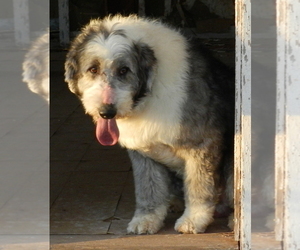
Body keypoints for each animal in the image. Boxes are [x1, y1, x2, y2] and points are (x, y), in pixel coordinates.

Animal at [65, 15, 234, 234]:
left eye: (124, 70)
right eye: (93, 69)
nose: (107, 112)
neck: (150, 91)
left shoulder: (202, 144)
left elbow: (199, 186)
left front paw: (193, 220)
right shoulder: (143, 153)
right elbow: (148, 188)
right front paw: (146, 220)